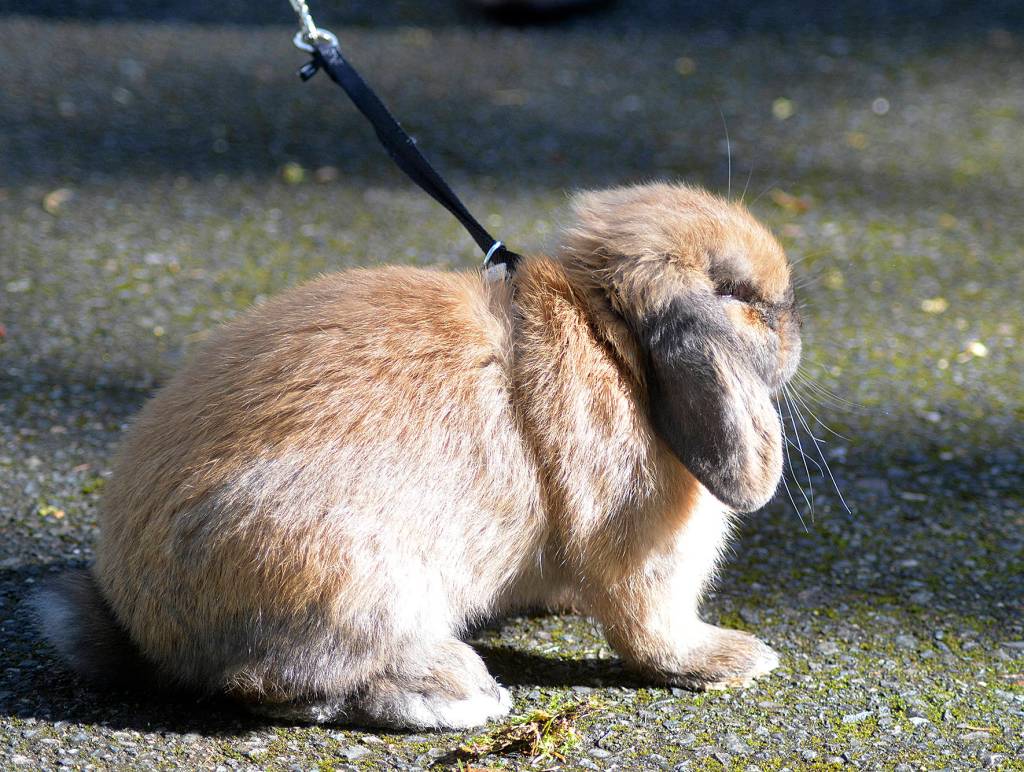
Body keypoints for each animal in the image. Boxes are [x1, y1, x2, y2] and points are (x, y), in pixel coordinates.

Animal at [31, 182, 801, 729]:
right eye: (737, 294)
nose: (796, 327)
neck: (614, 343)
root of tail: (142, 626)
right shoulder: (645, 553)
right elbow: (653, 626)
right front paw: (733, 660)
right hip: (348, 574)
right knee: (271, 685)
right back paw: (453, 693)